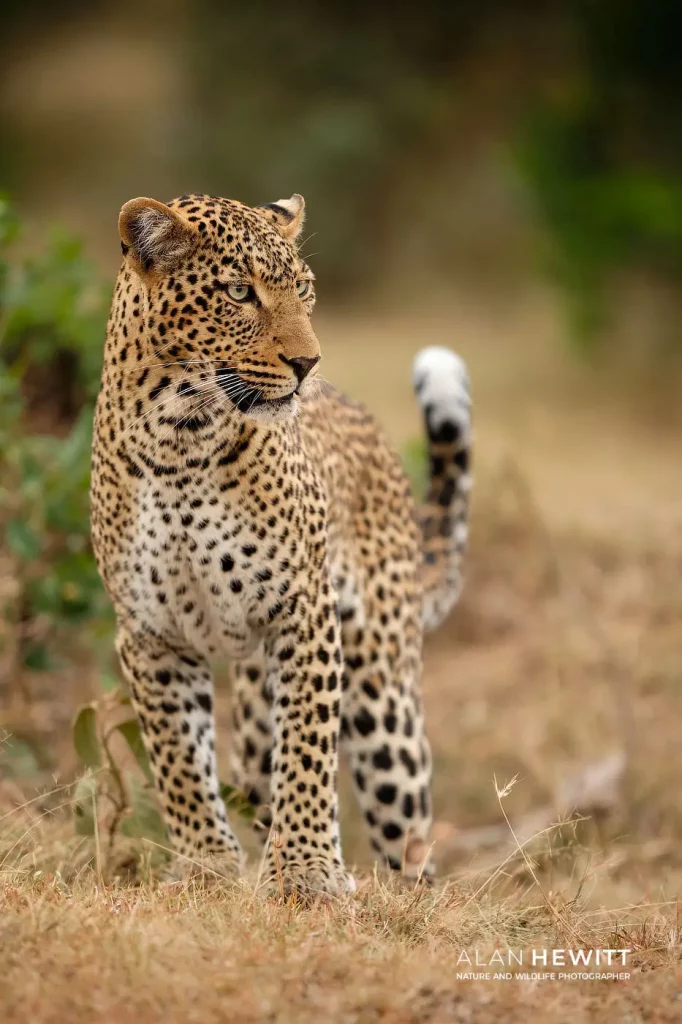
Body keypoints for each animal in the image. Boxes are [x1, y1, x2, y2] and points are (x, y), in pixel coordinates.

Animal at [90, 191, 472, 895]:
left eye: (305, 291)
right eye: (241, 292)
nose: (307, 364)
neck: (178, 437)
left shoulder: (305, 609)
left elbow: (309, 750)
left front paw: (306, 870)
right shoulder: (150, 632)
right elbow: (178, 760)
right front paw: (207, 868)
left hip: (384, 696)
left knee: (406, 827)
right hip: (252, 706)